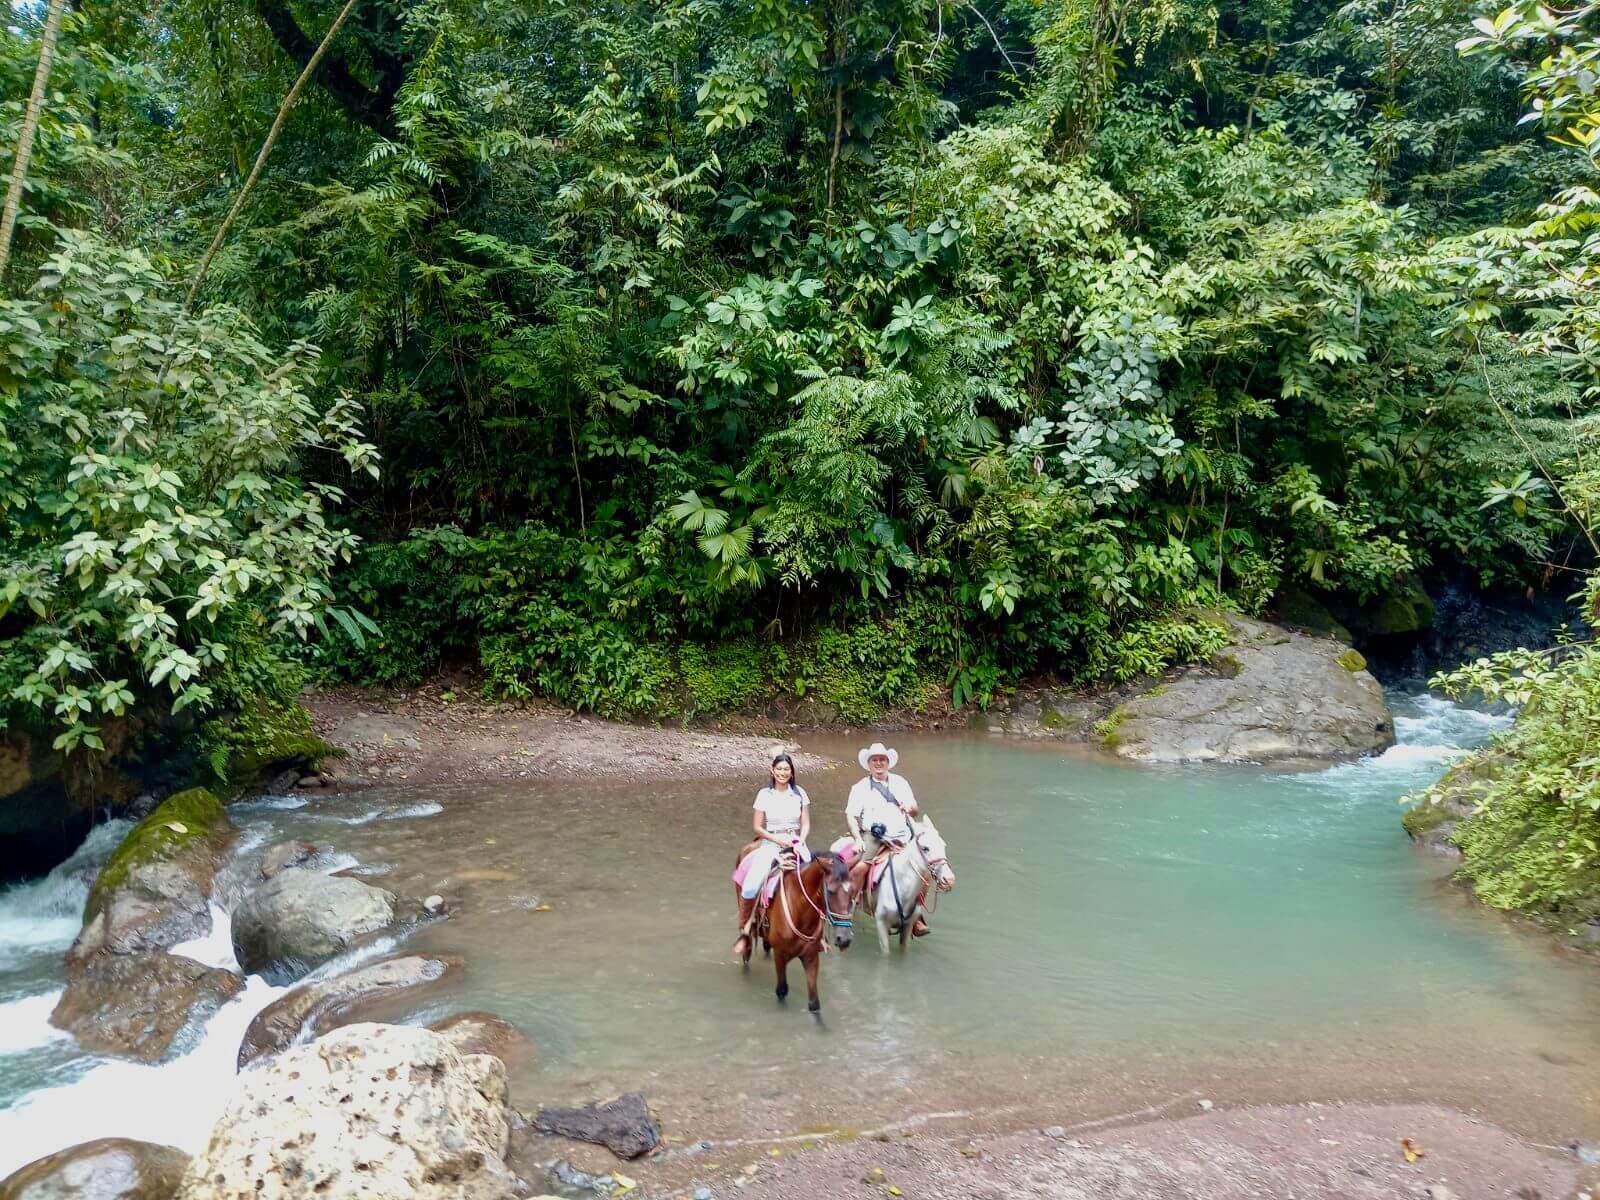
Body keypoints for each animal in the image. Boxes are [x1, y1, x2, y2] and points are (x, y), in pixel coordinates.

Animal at [736, 844, 857, 1017]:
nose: (844, 938)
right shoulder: (780, 954)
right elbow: (781, 990)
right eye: (831, 891)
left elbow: (814, 1003)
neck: (799, 909)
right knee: (747, 949)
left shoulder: (811, 956)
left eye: (853, 892)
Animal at [870, 819, 953, 960]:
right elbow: (886, 953)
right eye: (925, 848)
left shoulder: (907, 926)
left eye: (943, 845)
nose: (949, 879)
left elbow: (904, 950)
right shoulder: (881, 922)